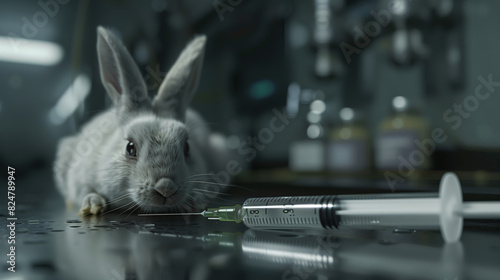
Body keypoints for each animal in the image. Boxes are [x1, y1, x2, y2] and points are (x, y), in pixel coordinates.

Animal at [54, 26, 230, 214]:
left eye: (187, 148)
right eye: (130, 148)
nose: (166, 188)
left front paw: (194, 201)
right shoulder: (78, 176)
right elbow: (84, 191)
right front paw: (93, 204)